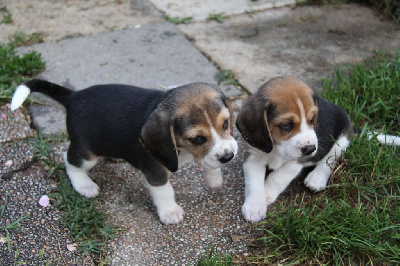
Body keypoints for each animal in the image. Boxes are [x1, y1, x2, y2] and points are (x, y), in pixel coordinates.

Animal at [11, 79, 238, 224]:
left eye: (226, 123)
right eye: (198, 138)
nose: (229, 157)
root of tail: (73, 97)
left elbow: (211, 162)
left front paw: (215, 179)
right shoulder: (155, 170)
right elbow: (165, 191)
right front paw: (170, 212)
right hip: (87, 154)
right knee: (69, 160)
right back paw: (84, 185)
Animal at [238, 76, 354, 222]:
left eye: (313, 119)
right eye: (286, 125)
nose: (310, 149)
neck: (276, 148)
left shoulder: (296, 162)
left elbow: (278, 177)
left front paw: (267, 193)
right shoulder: (253, 158)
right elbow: (254, 183)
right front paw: (255, 207)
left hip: (342, 140)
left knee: (330, 160)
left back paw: (317, 178)